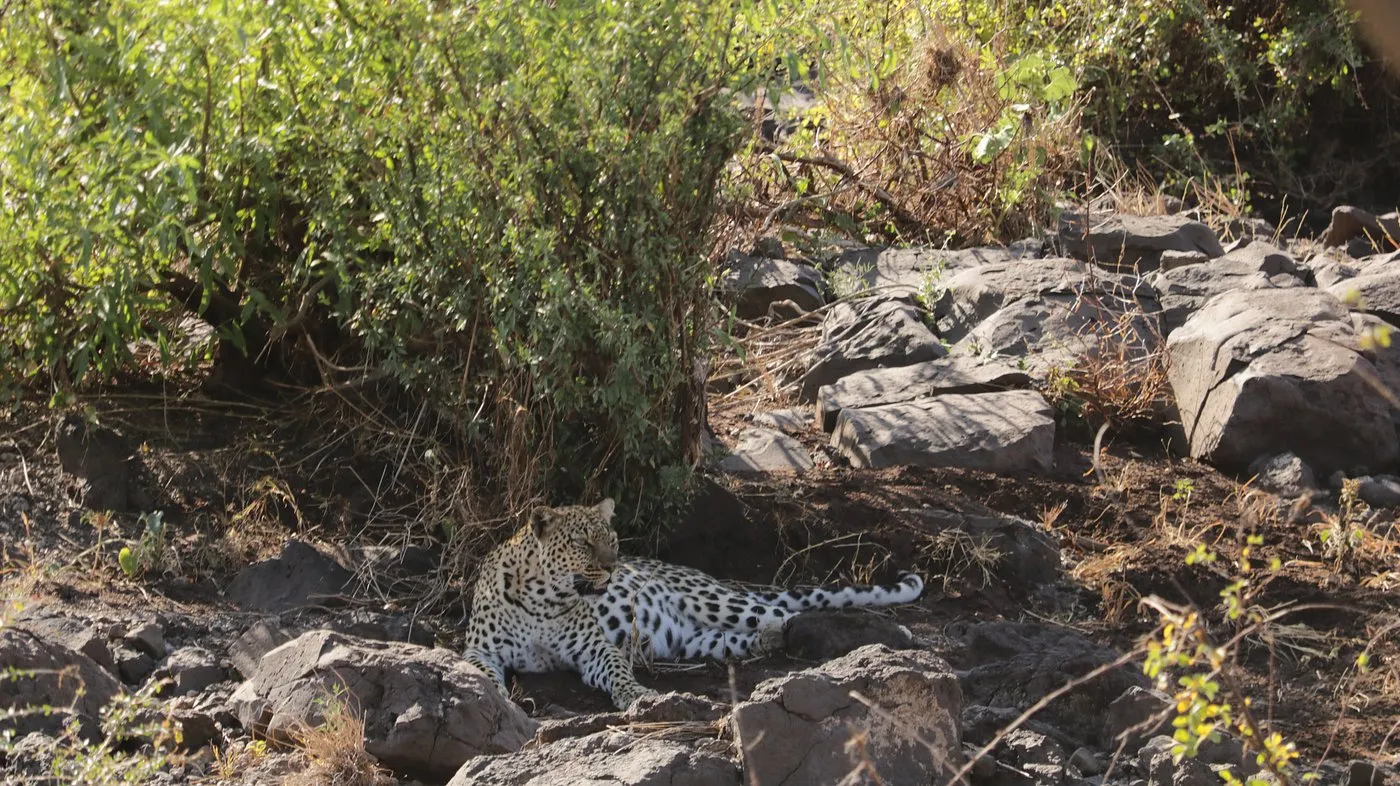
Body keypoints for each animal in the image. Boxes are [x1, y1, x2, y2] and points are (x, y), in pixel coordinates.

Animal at [462, 497, 926, 709]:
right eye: (583, 544)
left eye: (611, 539)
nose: (613, 568)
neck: (542, 599)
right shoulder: (480, 651)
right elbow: (482, 673)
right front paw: (497, 699)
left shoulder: (595, 649)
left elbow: (617, 669)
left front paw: (636, 694)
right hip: (695, 639)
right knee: (766, 633)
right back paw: (771, 642)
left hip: (718, 602)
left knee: (790, 614)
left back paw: (897, 636)